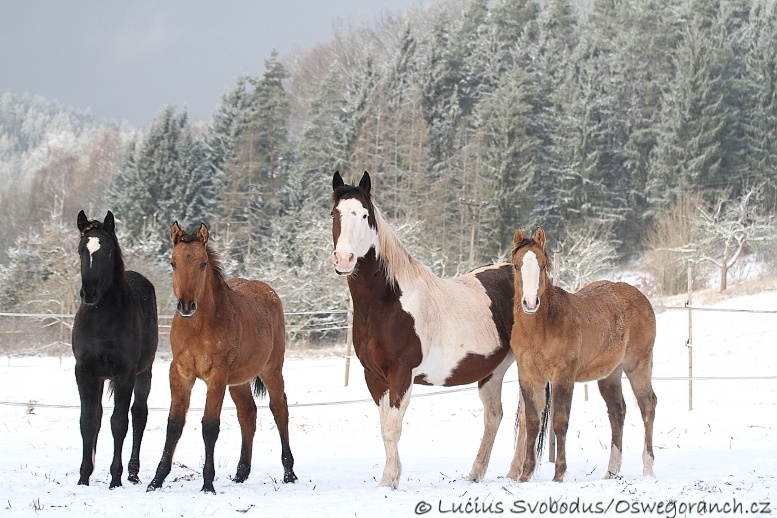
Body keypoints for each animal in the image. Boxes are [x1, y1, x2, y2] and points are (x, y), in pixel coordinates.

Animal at [72, 210, 158, 488]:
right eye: (81, 250)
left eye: (107, 251)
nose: (89, 293)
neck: (102, 319)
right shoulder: (85, 371)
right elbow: (88, 421)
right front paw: (84, 476)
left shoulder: (125, 373)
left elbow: (119, 422)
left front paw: (116, 478)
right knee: (98, 416)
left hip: (145, 372)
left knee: (139, 415)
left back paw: (132, 472)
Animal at [147, 222, 296, 496]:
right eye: (173, 262)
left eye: (203, 263)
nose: (186, 305)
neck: (198, 327)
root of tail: (268, 291)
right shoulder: (180, 373)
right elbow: (174, 423)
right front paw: (156, 480)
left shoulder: (216, 377)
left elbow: (209, 426)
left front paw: (208, 483)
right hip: (239, 380)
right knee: (247, 414)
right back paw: (241, 473)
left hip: (271, 370)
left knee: (279, 409)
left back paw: (289, 472)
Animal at [330, 173, 520, 490]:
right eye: (335, 214)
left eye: (365, 215)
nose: (344, 259)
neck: (388, 303)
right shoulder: (374, 378)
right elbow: (385, 427)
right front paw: (393, 476)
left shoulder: (401, 374)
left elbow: (393, 428)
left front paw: (388, 482)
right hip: (493, 373)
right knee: (495, 416)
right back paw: (477, 474)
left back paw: (518, 471)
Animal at [510, 230, 656, 486]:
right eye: (517, 266)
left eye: (543, 265)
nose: (530, 302)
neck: (540, 328)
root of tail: (640, 297)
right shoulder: (529, 376)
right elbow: (533, 422)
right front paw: (525, 475)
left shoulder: (563, 375)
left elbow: (560, 421)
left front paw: (559, 474)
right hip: (610, 374)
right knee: (617, 411)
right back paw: (611, 472)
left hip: (638, 365)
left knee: (647, 405)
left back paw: (648, 469)